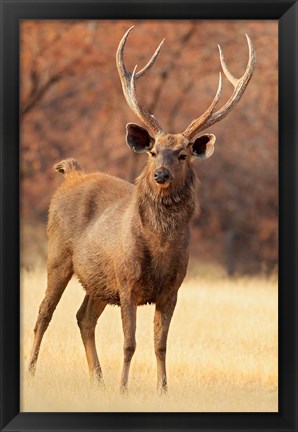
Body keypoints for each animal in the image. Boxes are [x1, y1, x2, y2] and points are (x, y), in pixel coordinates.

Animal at [28, 25, 256, 394]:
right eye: (152, 152)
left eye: (183, 154)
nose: (160, 174)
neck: (160, 248)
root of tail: (71, 173)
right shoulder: (127, 281)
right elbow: (129, 342)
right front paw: (124, 388)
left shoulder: (173, 289)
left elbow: (160, 344)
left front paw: (162, 389)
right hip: (58, 254)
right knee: (44, 313)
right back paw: (32, 371)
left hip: (98, 280)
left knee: (83, 317)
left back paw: (98, 379)